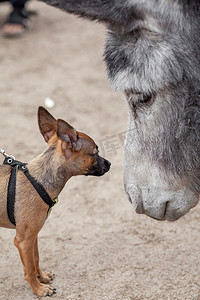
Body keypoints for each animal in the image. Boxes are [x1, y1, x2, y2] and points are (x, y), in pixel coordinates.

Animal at [0, 106, 110, 296]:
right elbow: (29, 270)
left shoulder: (33, 236)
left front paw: (42, 278)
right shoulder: (23, 240)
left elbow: (35, 260)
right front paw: (39, 290)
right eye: (95, 153)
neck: (38, 180)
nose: (109, 164)